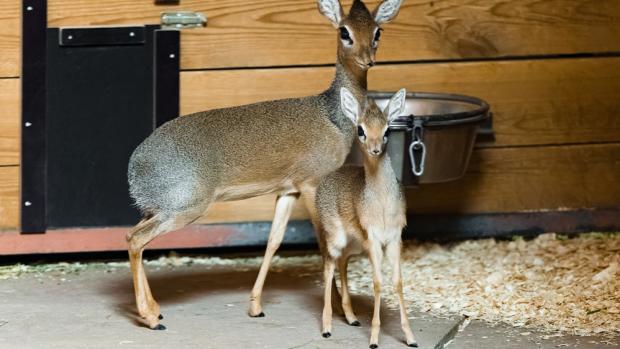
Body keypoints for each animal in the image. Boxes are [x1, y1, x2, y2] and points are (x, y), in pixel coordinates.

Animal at [314, 88, 416, 346]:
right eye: (360, 129)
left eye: (388, 129)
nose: (376, 149)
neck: (382, 203)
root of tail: (326, 178)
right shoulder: (374, 239)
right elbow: (378, 283)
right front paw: (374, 338)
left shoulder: (394, 239)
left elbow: (398, 283)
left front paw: (410, 337)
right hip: (337, 238)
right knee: (328, 265)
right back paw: (327, 327)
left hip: (355, 244)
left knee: (342, 262)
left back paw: (351, 317)